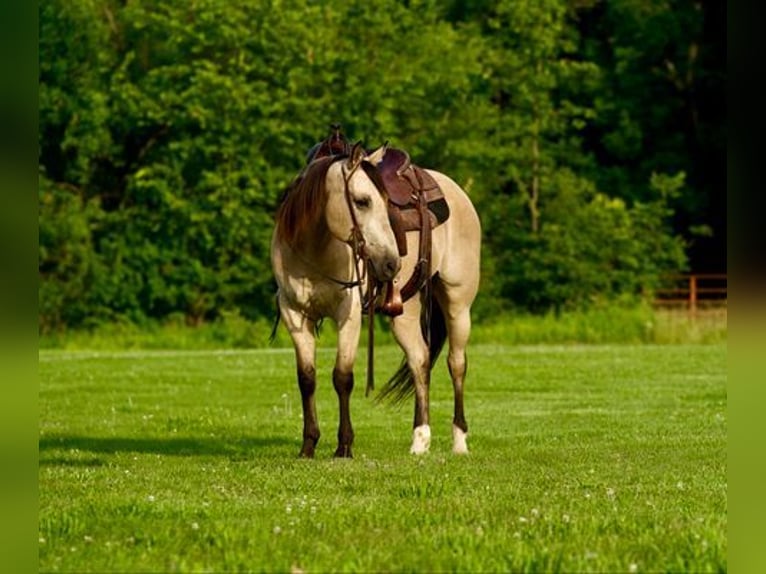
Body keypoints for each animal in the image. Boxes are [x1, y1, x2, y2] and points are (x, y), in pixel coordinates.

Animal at [272, 127, 484, 460]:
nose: (391, 263)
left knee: (456, 364)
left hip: (458, 304)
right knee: (420, 360)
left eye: (385, 201)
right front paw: (308, 445)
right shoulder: (294, 313)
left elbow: (342, 377)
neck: (314, 247)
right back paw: (420, 440)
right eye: (361, 201)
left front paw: (344, 445)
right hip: (404, 312)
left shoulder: (348, 314)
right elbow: (306, 378)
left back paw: (459, 440)